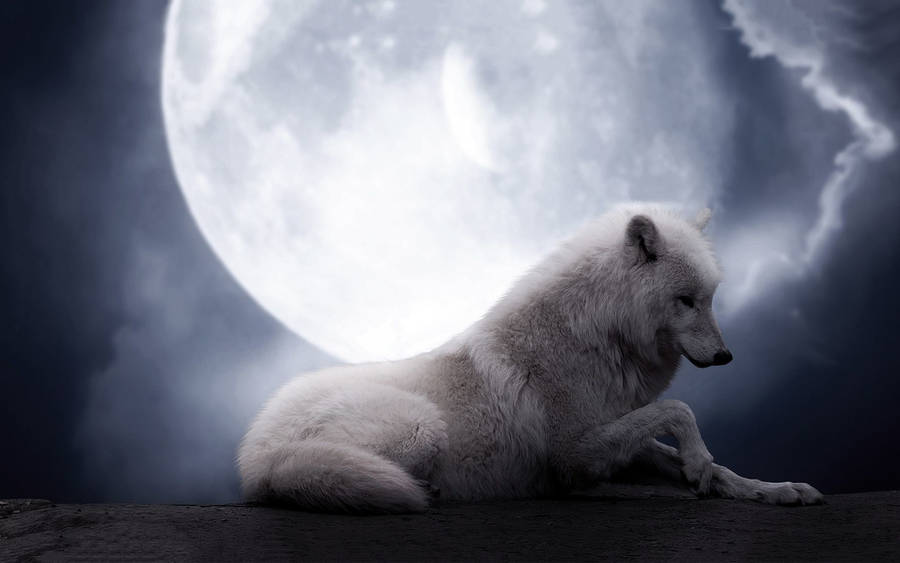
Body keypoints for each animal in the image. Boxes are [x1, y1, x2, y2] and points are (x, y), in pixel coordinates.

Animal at [237, 205, 823, 513]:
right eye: (686, 301)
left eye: (711, 298)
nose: (726, 356)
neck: (598, 335)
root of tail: (256, 453)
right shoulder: (575, 451)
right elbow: (679, 410)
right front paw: (699, 464)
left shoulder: (615, 433)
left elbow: (706, 460)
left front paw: (771, 489)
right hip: (422, 427)